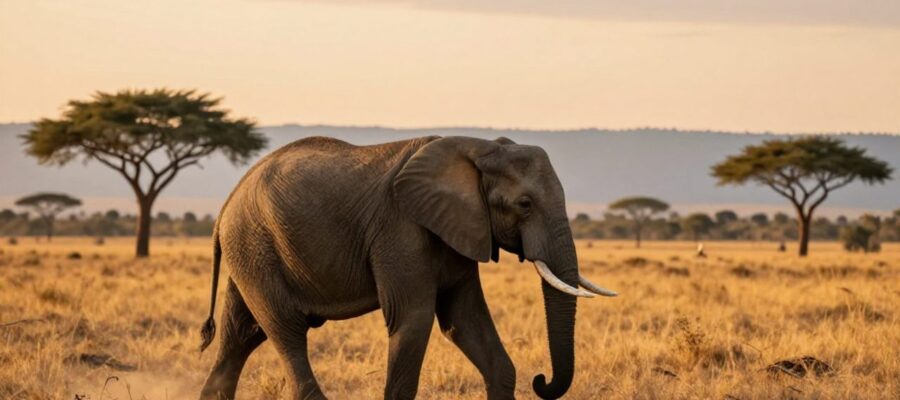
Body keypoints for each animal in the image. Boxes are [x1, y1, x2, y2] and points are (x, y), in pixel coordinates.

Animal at [197, 135, 617, 400]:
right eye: (525, 204)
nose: (541, 380)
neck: (479, 148)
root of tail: (226, 204)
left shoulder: (460, 230)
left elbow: (465, 321)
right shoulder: (400, 228)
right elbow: (412, 319)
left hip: (250, 252)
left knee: (241, 335)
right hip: (256, 246)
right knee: (285, 329)